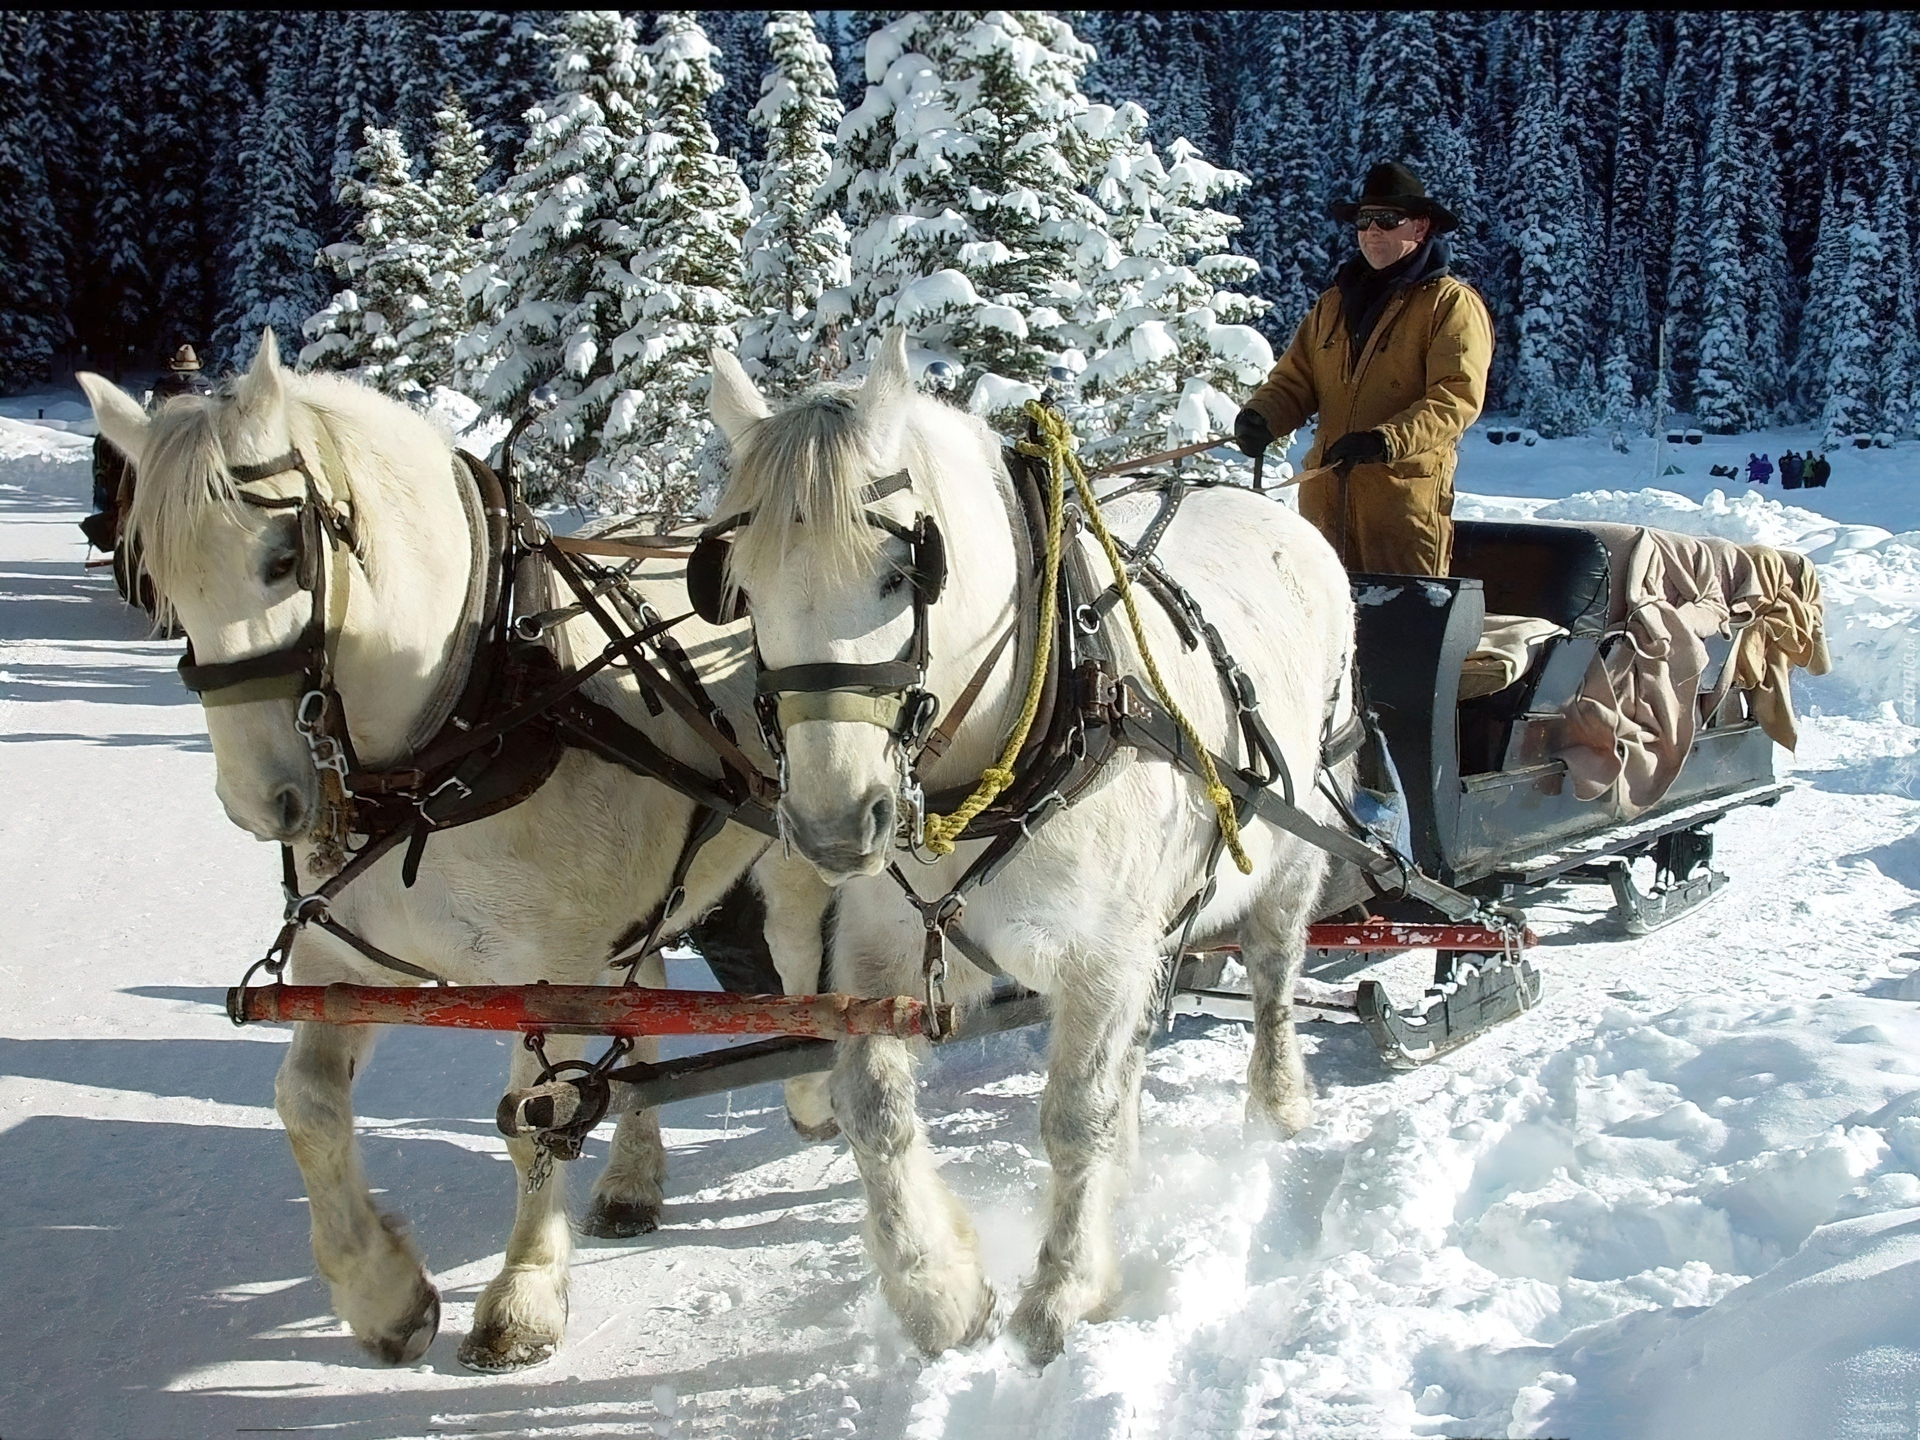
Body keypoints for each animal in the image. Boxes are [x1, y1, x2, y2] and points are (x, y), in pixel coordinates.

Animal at [82, 336, 825, 1374]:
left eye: (284, 557)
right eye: (156, 577)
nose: (261, 802)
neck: (467, 727)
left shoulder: (549, 974)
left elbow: (535, 1119)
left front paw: (524, 1296)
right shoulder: (344, 961)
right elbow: (306, 1106)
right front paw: (384, 1295)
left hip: (796, 857)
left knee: (800, 966)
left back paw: (815, 1088)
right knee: (646, 1004)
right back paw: (633, 1180)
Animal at [710, 336, 1367, 1367]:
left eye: (903, 572)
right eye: (742, 585)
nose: (829, 827)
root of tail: (1269, 504)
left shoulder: (1101, 953)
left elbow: (1072, 1117)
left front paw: (1062, 1295)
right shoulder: (882, 947)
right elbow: (873, 1104)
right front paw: (938, 1294)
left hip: (1291, 851)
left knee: (1272, 976)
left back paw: (1276, 1104)